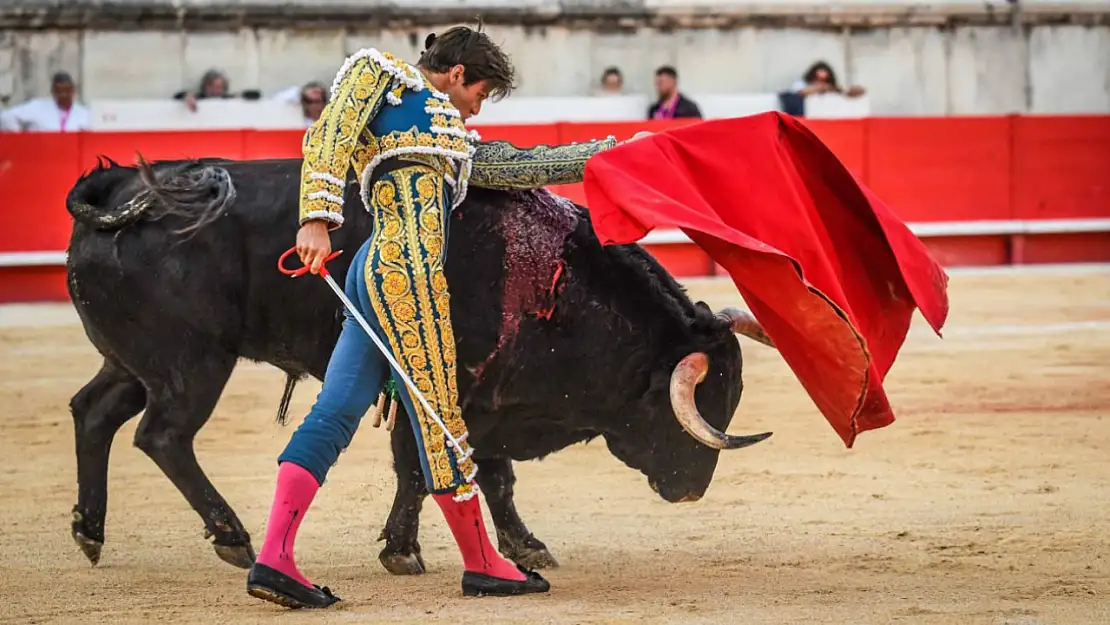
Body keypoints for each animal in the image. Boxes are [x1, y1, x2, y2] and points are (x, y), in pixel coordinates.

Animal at [62, 157, 772, 577]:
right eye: (692, 407)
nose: (691, 489)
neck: (555, 285)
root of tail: (120, 189)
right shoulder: (427, 388)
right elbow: (419, 470)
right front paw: (402, 551)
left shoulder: (490, 400)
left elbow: (496, 478)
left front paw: (525, 546)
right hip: (192, 364)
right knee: (163, 435)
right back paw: (231, 536)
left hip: (133, 362)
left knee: (93, 413)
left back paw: (90, 531)